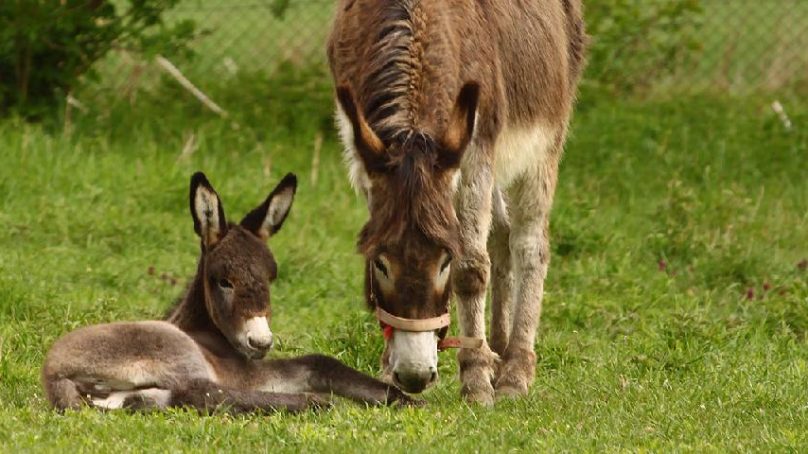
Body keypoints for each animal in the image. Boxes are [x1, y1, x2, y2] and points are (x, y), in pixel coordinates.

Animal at [41, 172, 416, 414]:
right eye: (223, 281)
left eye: (271, 276)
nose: (260, 342)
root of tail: (53, 373)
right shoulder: (246, 372)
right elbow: (316, 361)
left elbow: (318, 363)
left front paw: (404, 398)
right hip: (173, 351)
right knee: (201, 393)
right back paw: (314, 403)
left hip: (131, 395)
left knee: (161, 399)